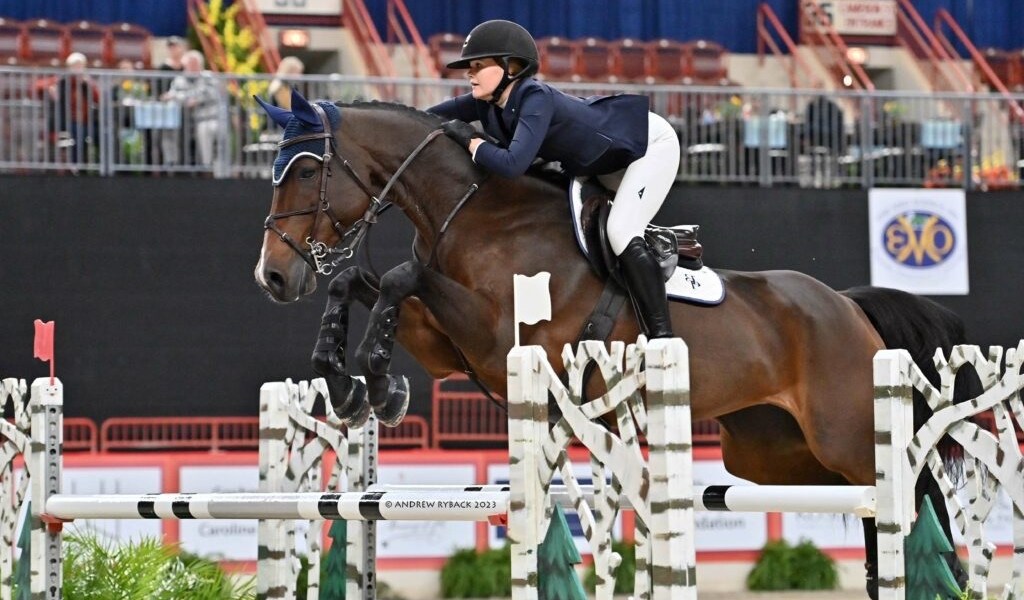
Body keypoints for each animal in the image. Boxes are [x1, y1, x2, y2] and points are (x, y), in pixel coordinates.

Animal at [253, 90, 970, 598]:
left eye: (307, 170)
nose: (273, 277)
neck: (478, 213)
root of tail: (847, 305)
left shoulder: (496, 334)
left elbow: (402, 277)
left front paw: (375, 378)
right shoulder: (446, 344)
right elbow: (357, 280)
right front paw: (351, 385)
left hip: (843, 431)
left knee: (909, 491)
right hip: (771, 453)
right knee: (870, 504)